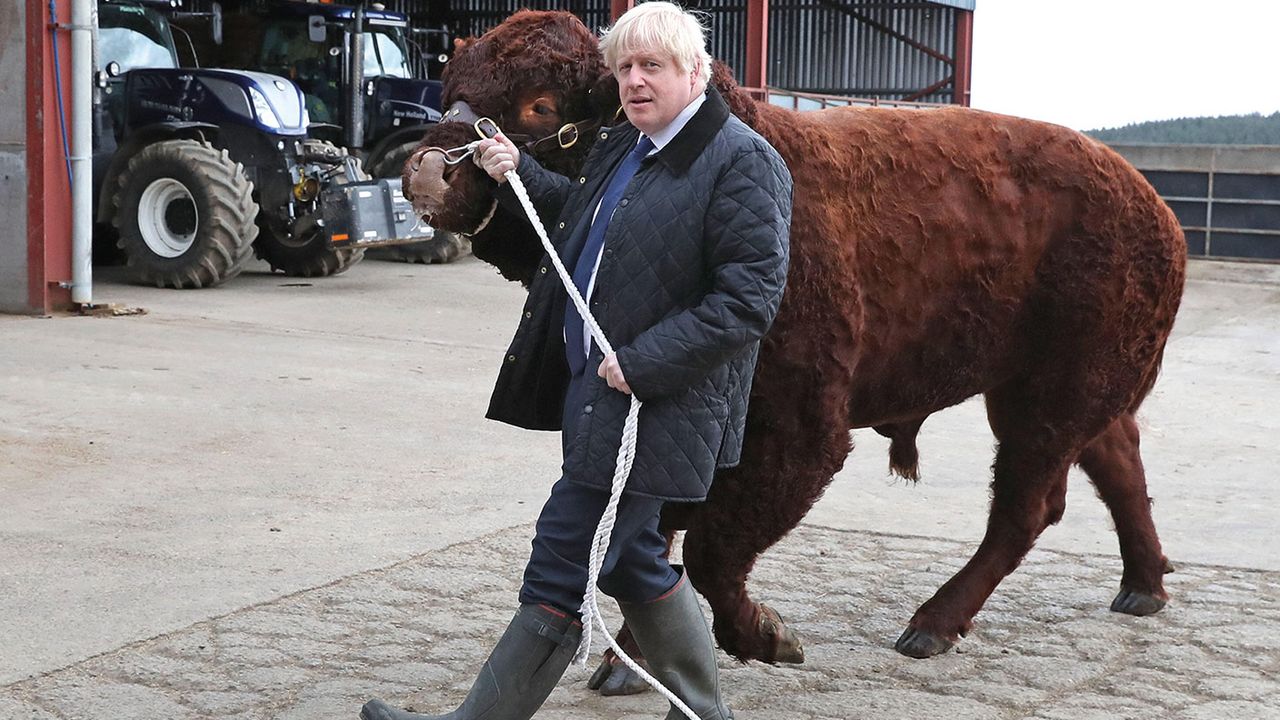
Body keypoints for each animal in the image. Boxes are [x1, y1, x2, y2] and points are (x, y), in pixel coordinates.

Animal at [404, 8, 1182, 671]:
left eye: (540, 104)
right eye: (453, 88)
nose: (424, 171)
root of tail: (1151, 202)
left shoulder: (799, 433)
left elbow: (711, 548)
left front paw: (766, 639)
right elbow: (661, 537)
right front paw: (637, 662)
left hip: (1045, 398)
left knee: (1029, 506)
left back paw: (930, 626)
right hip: (1057, 393)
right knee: (1116, 464)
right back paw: (1141, 588)